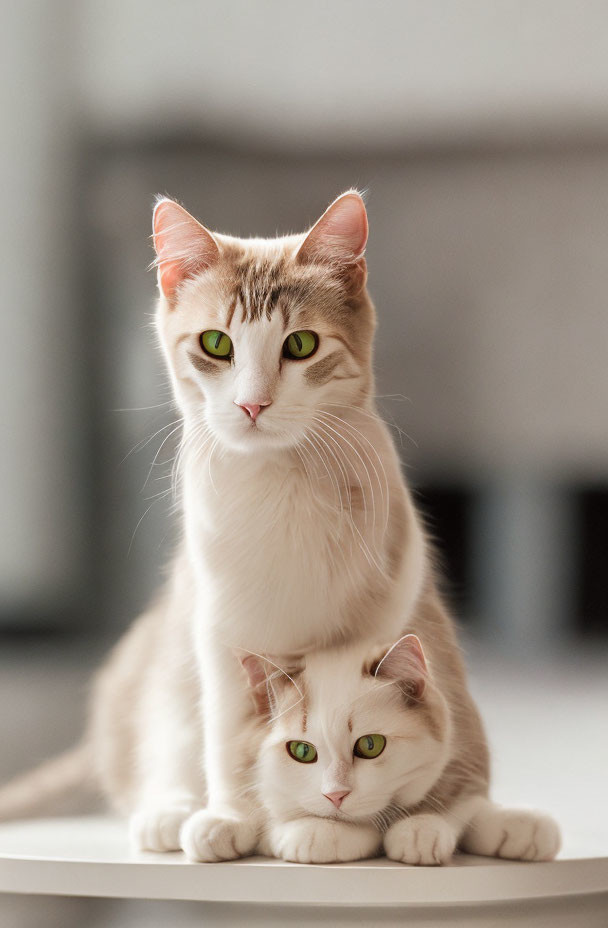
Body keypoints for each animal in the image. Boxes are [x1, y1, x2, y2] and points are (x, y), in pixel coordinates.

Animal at [0, 188, 560, 864]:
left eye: (301, 345)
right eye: (216, 343)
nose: (252, 403)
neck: (282, 485)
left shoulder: (402, 619)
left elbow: (433, 736)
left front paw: (429, 816)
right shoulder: (219, 632)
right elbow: (230, 733)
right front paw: (232, 816)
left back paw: (504, 821)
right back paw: (171, 808)